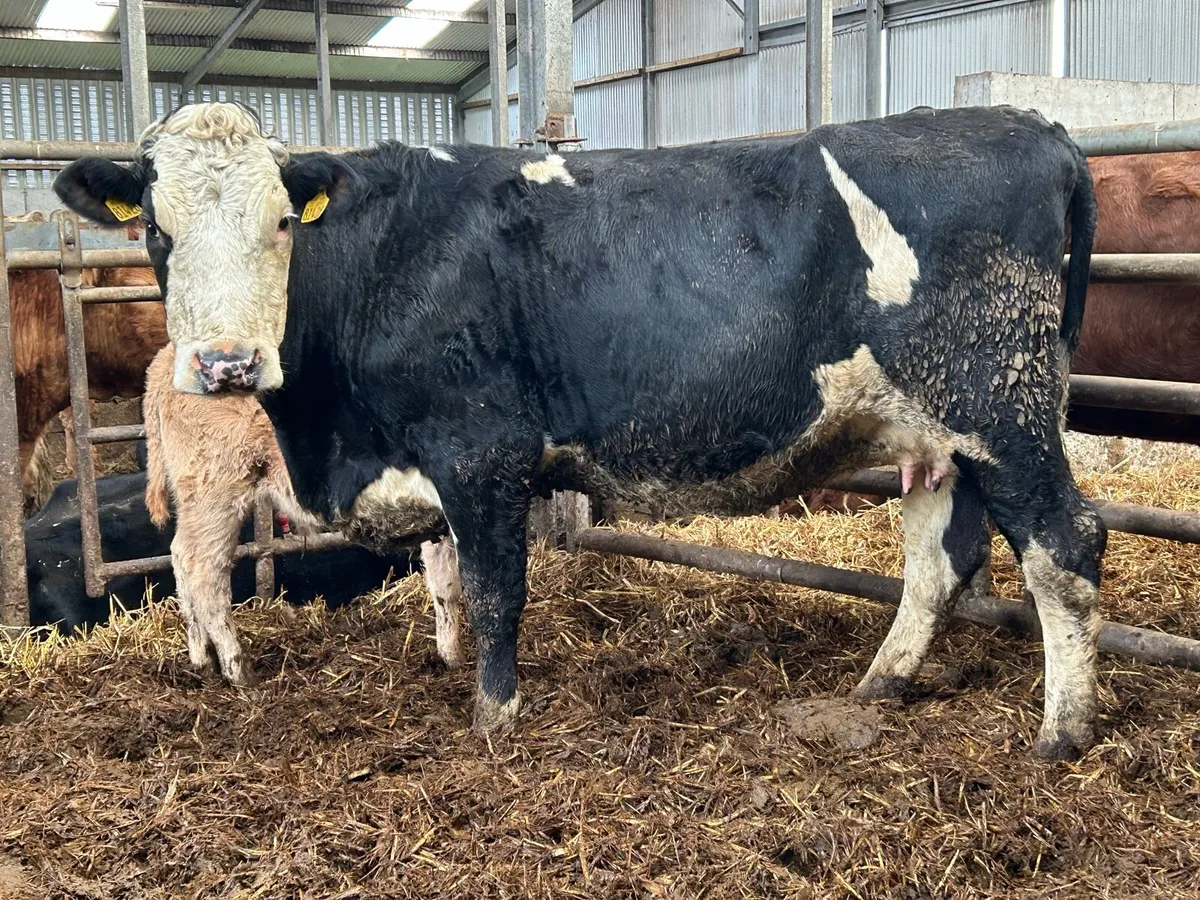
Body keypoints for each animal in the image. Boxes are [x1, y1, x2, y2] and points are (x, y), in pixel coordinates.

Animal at [142, 342, 465, 681]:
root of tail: (162, 360)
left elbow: (445, 587)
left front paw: (451, 658)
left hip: (195, 502)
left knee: (181, 558)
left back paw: (201, 657)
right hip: (216, 494)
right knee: (206, 573)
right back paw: (237, 669)